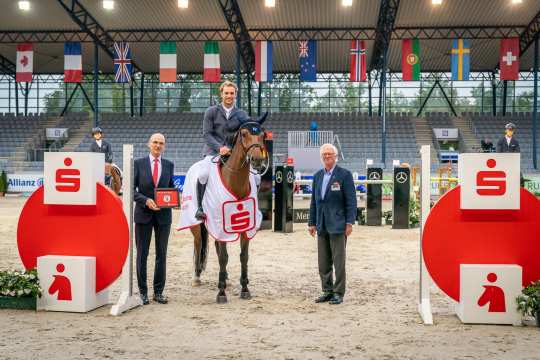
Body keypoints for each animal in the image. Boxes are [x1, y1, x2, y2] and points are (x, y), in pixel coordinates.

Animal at [189, 114, 268, 304]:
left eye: (263, 135)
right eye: (244, 134)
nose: (258, 161)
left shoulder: (245, 227)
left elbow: (243, 257)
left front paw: (245, 289)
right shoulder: (220, 225)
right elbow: (224, 257)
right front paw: (221, 293)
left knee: (216, 249)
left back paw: (225, 279)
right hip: (197, 226)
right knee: (199, 244)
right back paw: (197, 278)